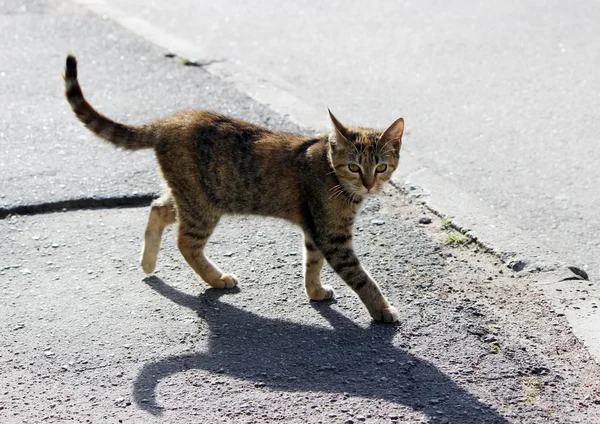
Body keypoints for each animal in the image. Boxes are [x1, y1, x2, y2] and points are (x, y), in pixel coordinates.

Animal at [64, 55, 404, 322]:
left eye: (381, 167)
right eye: (354, 167)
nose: (370, 184)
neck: (333, 173)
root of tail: (173, 120)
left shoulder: (314, 228)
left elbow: (312, 262)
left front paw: (315, 290)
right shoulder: (332, 235)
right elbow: (361, 277)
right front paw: (382, 310)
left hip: (190, 197)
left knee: (157, 208)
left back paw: (148, 262)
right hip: (201, 205)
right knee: (186, 242)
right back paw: (216, 278)